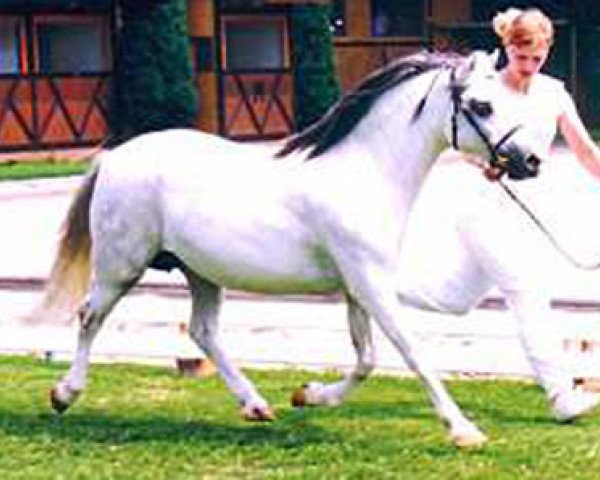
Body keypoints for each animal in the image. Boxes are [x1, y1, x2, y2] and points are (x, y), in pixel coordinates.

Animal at [38, 50, 544, 448]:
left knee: (203, 331)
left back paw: (256, 405)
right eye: (482, 105)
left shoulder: (357, 287)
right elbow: (411, 350)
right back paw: (64, 393)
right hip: (120, 267)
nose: (531, 161)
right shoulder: (370, 283)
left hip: (201, 272)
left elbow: (366, 359)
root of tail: (114, 156)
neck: (365, 173)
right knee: (90, 316)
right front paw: (463, 430)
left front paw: (309, 395)